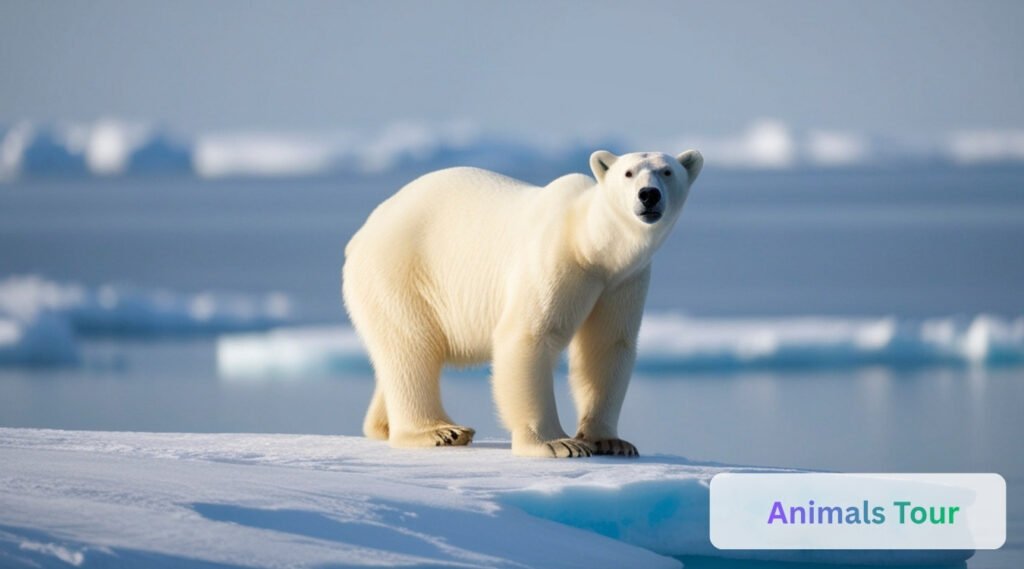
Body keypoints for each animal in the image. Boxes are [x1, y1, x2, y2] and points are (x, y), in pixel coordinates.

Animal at [342, 149, 703, 458]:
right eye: (628, 173)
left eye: (667, 171)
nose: (648, 195)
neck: (591, 244)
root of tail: (360, 235)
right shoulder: (557, 259)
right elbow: (530, 336)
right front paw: (558, 443)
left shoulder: (623, 281)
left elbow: (607, 346)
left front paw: (611, 441)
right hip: (400, 272)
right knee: (412, 347)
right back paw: (440, 431)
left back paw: (384, 425)